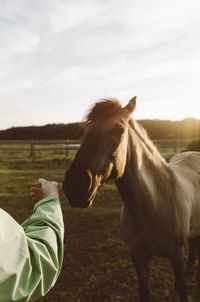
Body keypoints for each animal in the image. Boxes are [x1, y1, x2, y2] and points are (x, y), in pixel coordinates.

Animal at [63, 97, 200, 302]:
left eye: (119, 131)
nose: (74, 185)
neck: (155, 201)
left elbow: (181, 289)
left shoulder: (176, 255)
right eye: (83, 131)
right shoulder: (137, 255)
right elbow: (144, 292)